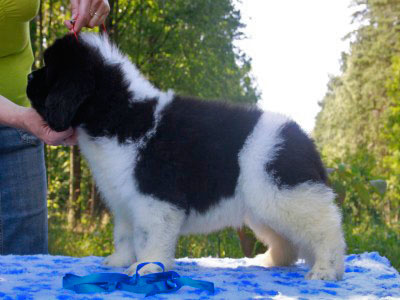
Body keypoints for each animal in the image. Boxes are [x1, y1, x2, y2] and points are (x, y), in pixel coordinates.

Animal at [26, 34, 346, 280]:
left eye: (48, 69)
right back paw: (270, 261)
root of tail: (306, 140)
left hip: (286, 195)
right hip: (264, 204)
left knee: (326, 229)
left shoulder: (156, 199)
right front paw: (120, 260)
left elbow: (150, 236)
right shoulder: (124, 200)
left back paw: (326, 270)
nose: (28, 76)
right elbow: (125, 233)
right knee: (286, 239)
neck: (121, 114)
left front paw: (147, 268)